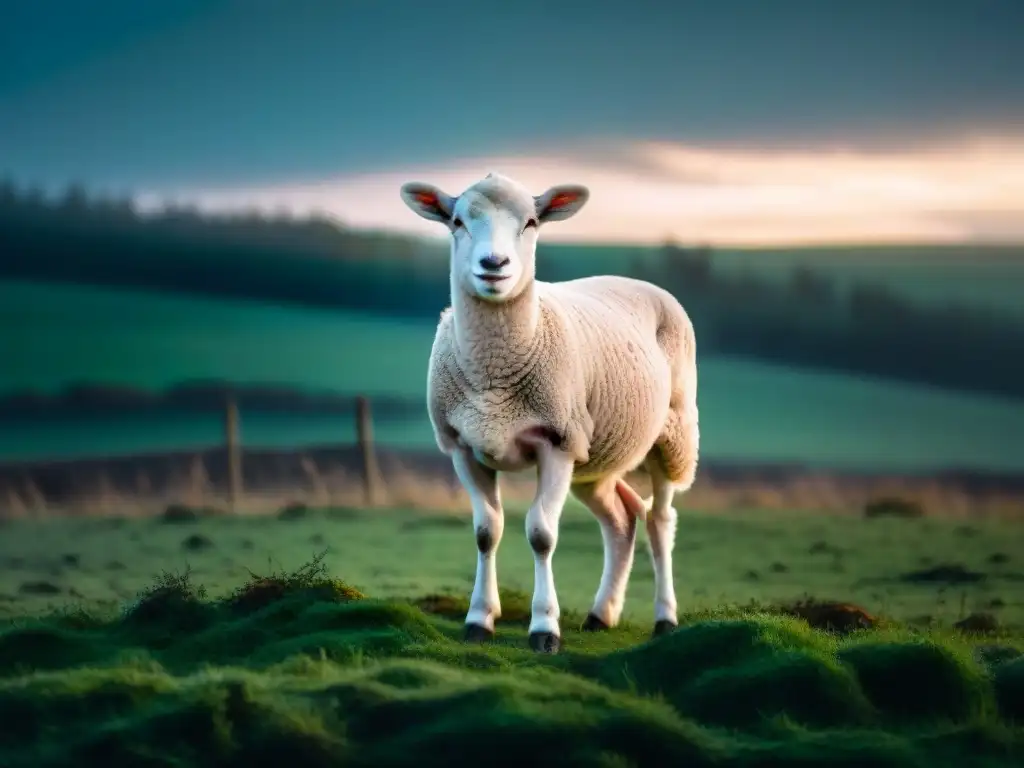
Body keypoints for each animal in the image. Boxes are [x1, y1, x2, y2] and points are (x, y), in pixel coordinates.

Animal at [397, 173, 696, 655]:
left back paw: (665, 618)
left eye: (532, 222)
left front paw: (544, 628)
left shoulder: (557, 443)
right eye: (457, 221)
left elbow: (541, 534)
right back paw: (601, 614)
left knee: (660, 519)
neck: (495, 376)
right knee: (621, 519)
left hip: (672, 434)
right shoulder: (462, 445)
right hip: (595, 458)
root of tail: (638, 282)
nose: (494, 264)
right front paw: (479, 620)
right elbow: (486, 531)